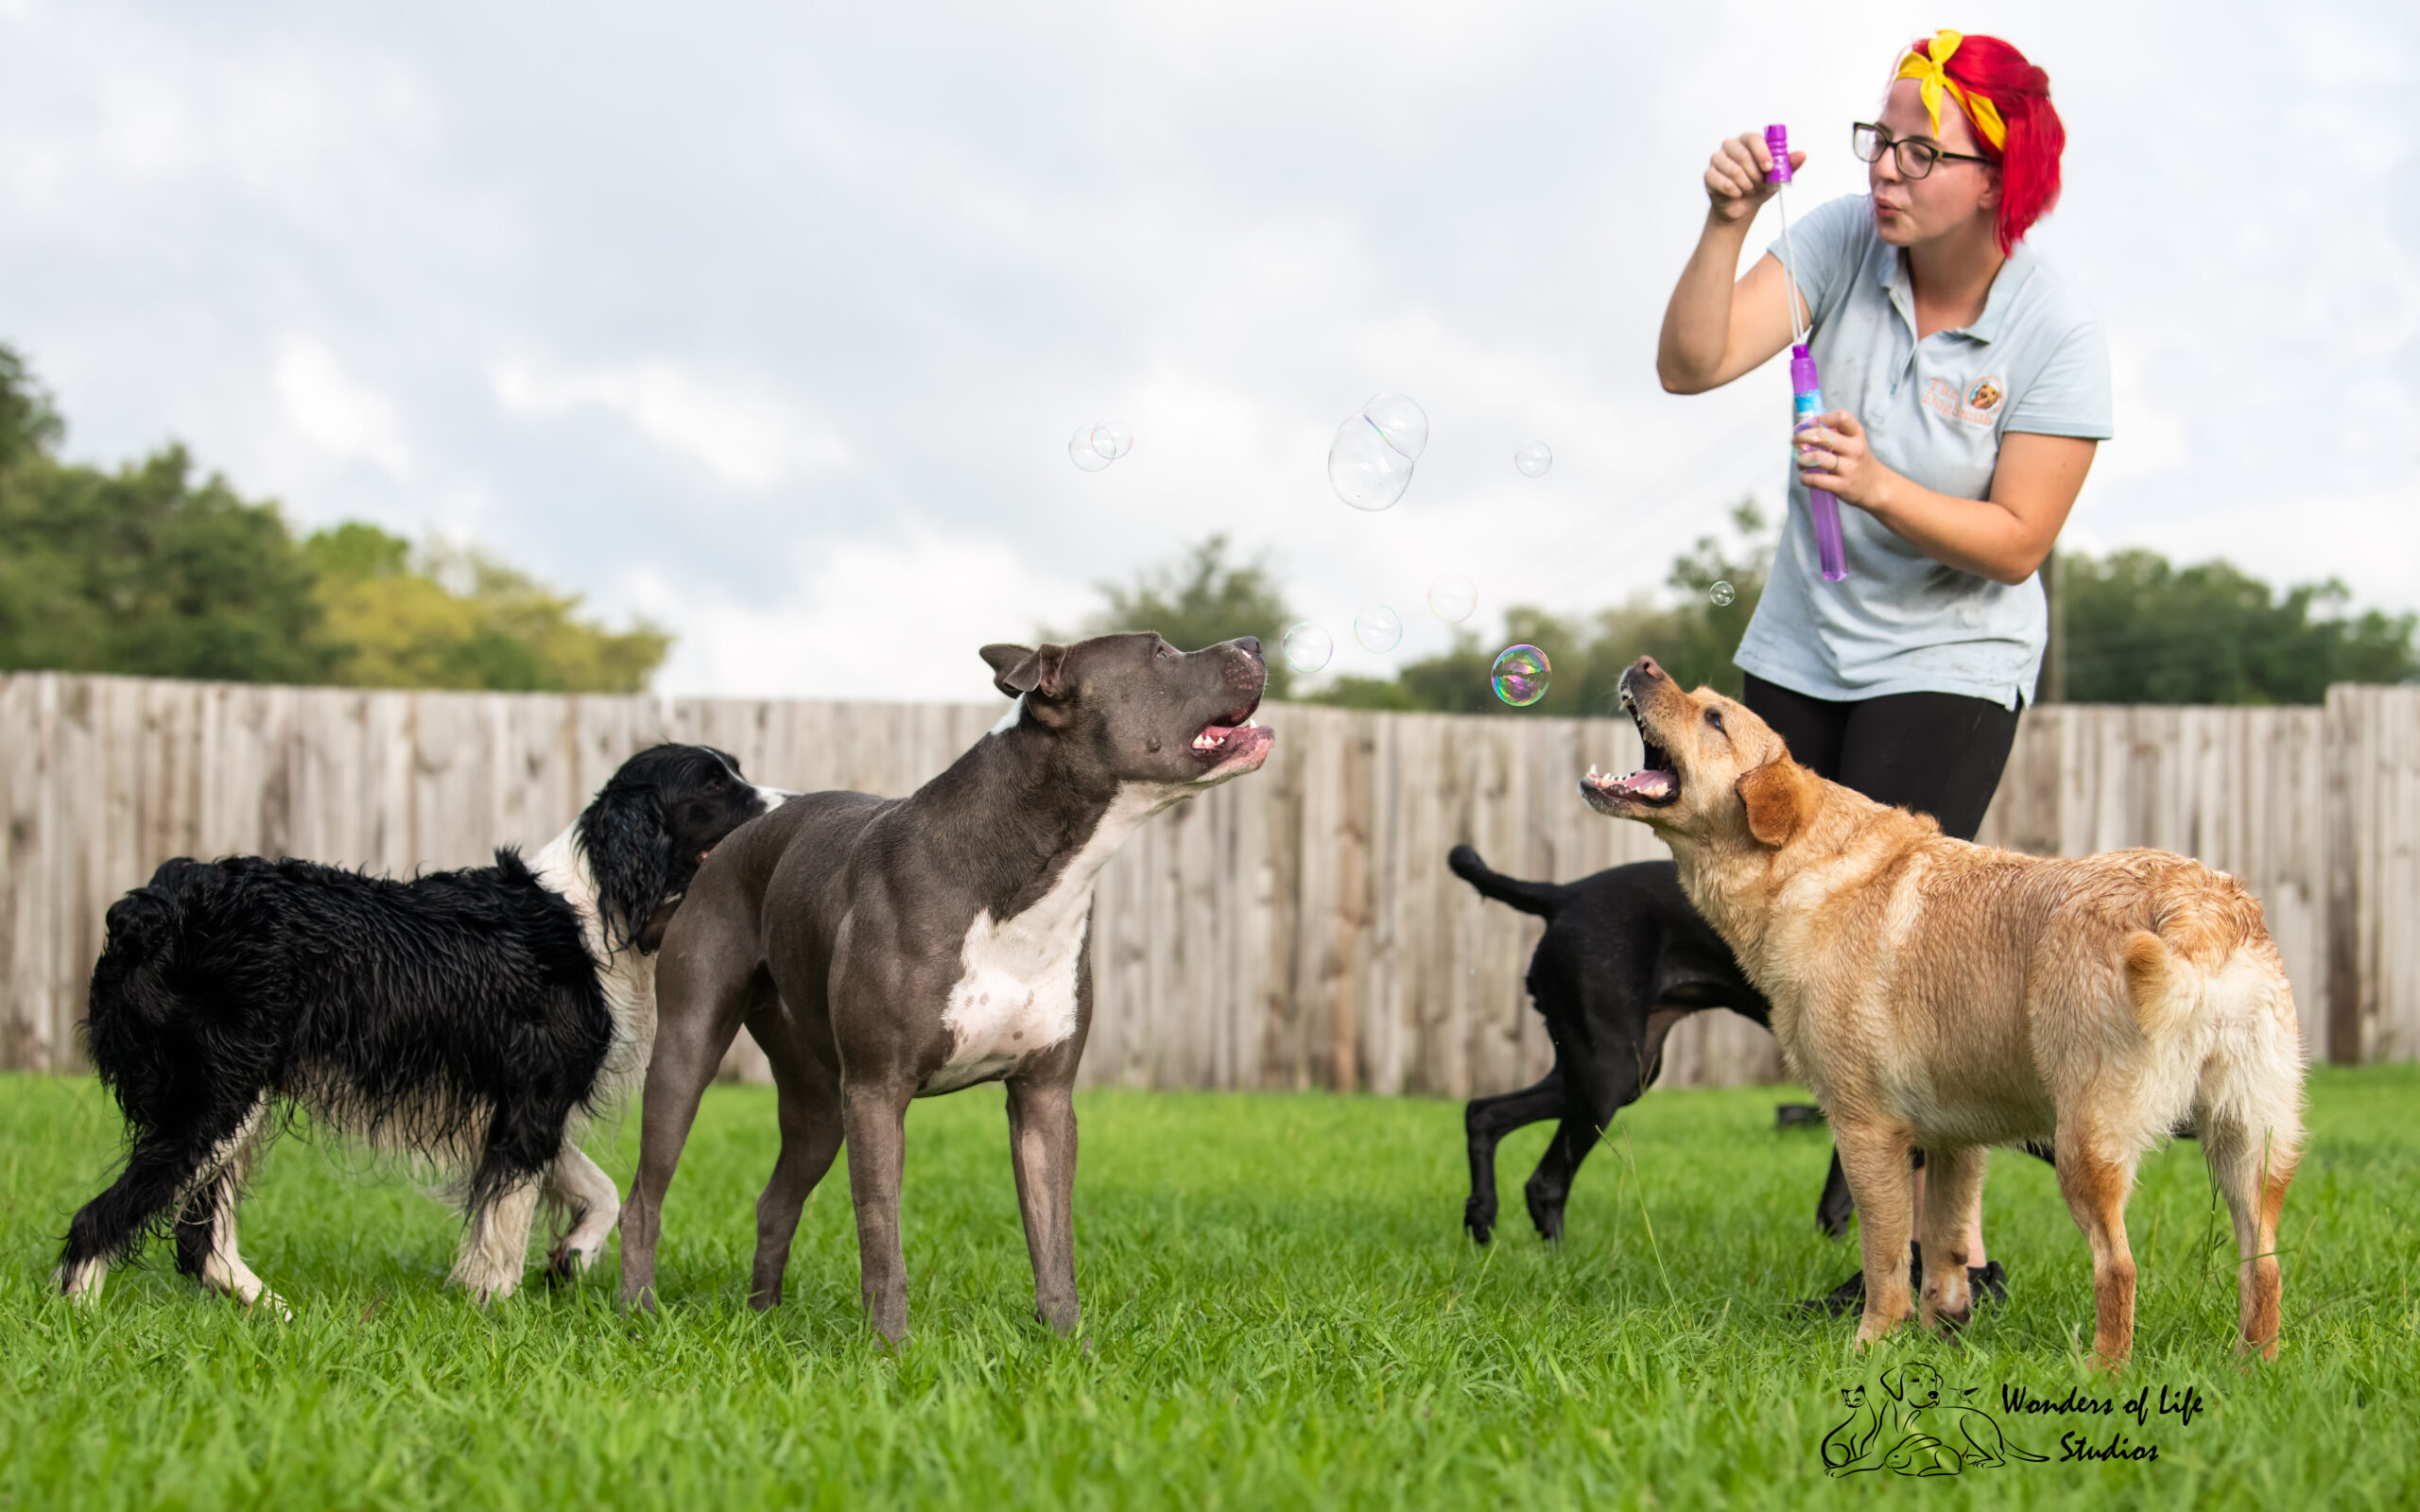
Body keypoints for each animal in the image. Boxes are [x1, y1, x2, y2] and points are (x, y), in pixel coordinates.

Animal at [57, 745, 774, 1306]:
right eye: (715, 785)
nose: (789, 802)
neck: (597, 905)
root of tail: (151, 903)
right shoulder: (534, 1097)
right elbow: (506, 1221)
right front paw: (496, 1307)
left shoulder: (516, 1105)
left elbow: (594, 1188)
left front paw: (571, 1255)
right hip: (216, 1100)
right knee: (103, 1219)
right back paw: (80, 1320)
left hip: (235, 1104)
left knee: (199, 1239)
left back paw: (275, 1315)